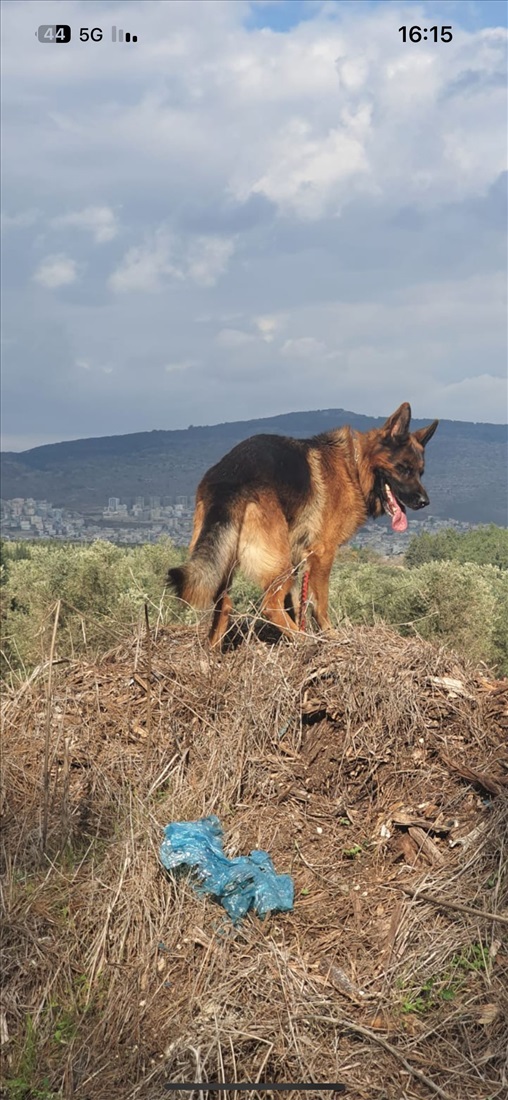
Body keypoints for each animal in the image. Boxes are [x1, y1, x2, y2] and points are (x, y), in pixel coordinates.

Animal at [168, 402, 437, 642]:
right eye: (403, 468)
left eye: (421, 472)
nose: (425, 502)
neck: (353, 465)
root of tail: (230, 476)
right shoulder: (323, 553)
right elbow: (320, 603)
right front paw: (329, 635)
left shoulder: (301, 557)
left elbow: (298, 604)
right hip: (279, 562)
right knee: (270, 604)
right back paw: (303, 640)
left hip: (225, 557)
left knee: (223, 604)